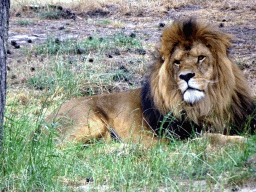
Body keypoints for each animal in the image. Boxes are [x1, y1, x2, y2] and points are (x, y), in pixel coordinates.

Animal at [46, 18, 256, 147]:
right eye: (177, 62)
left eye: (201, 58)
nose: (186, 76)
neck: (206, 104)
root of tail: (47, 117)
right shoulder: (180, 138)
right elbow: (214, 137)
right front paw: (245, 142)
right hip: (89, 122)